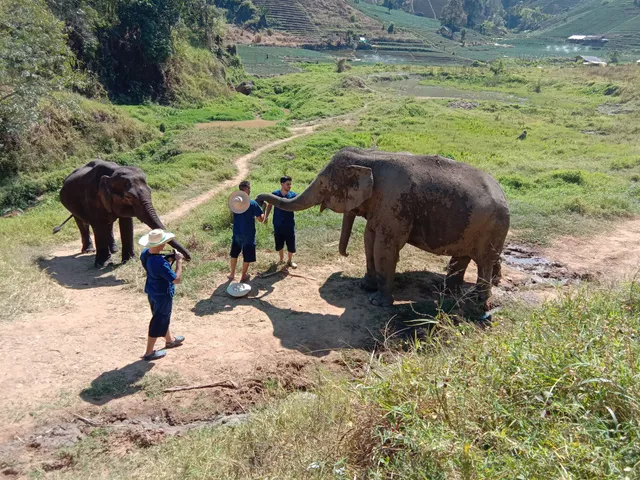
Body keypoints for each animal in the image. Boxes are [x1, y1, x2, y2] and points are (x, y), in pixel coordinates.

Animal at [55, 160, 191, 268]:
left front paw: (129, 260)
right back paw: (89, 251)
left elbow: (126, 223)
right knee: (82, 222)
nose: (188, 258)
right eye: (128, 197)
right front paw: (102, 265)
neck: (113, 172)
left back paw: (114, 250)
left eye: (150, 190)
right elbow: (98, 225)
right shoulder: (91, 197)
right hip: (71, 205)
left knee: (108, 224)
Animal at [256, 147, 510, 307]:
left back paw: (478, 302)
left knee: (484, 261)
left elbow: (384, 246)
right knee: (462, 257)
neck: (369, 156)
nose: (258, 200)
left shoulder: (394, 202)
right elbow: (369, 239)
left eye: (323, 183)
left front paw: (377, 302)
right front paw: (365, 286)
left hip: (492, 228)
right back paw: (447, 292)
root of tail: (502, 192)